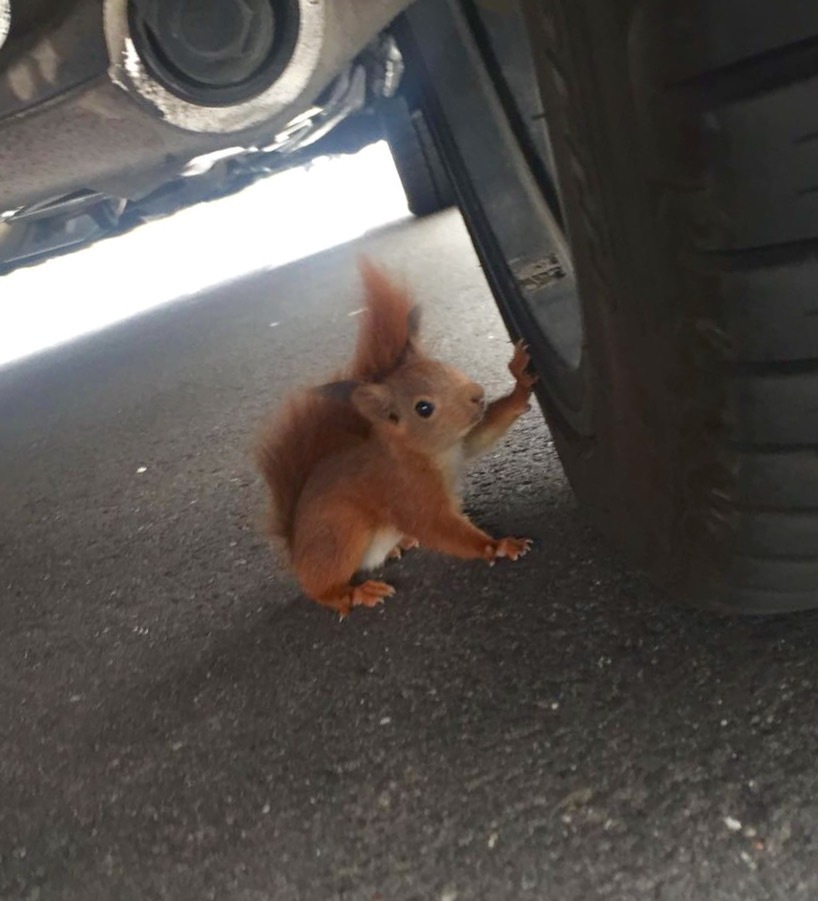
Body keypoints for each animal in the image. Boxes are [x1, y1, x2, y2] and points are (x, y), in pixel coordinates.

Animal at [255, 256, 536, 616]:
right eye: (423, 408)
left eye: (442, 365)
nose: (478, 395)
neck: (428, 454)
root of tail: (297, 552)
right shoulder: (406, 493)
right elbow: (439, 529)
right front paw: (498, 545)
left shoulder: (461, 442)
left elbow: (485, 431)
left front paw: (520, 382)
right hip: (340, 534)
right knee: (321, 587)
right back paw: (353, 594)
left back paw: (397, 545)